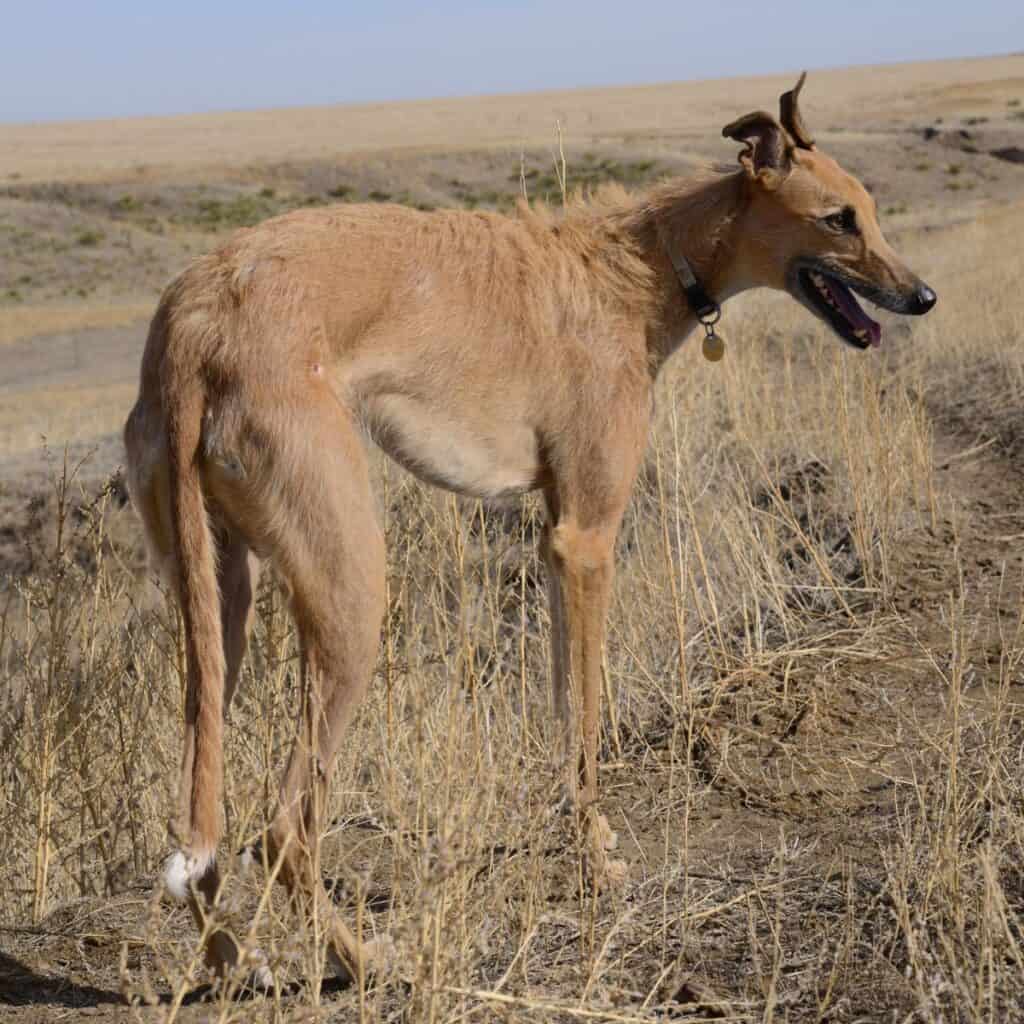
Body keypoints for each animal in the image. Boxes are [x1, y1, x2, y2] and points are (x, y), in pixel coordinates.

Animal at [121, 72, 937, 983]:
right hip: (349, 591)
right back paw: (364, 959)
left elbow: (560, 702)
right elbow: (584, 712)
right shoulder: (588, 538)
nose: (922, 297)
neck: (644, 264)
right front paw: (599, 859)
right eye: (840, 218)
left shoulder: (555, 541)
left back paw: (236, 959)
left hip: (216, 598)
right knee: (281, 829)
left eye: (871, 210)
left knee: (200, 815)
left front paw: (583, 836)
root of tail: (195, 320)